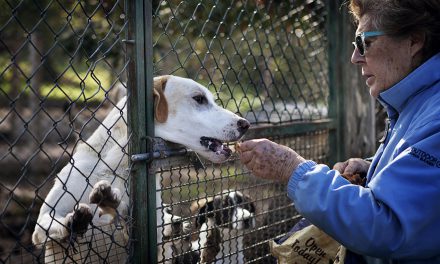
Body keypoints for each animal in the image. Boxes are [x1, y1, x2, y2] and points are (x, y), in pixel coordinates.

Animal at [31, 75, 248, 262]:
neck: (116, 166)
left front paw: (110, 204)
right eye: (199, 99)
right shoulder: (43, 223)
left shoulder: (150, 240)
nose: (245, 124)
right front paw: (74, 222)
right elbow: (50, 224)